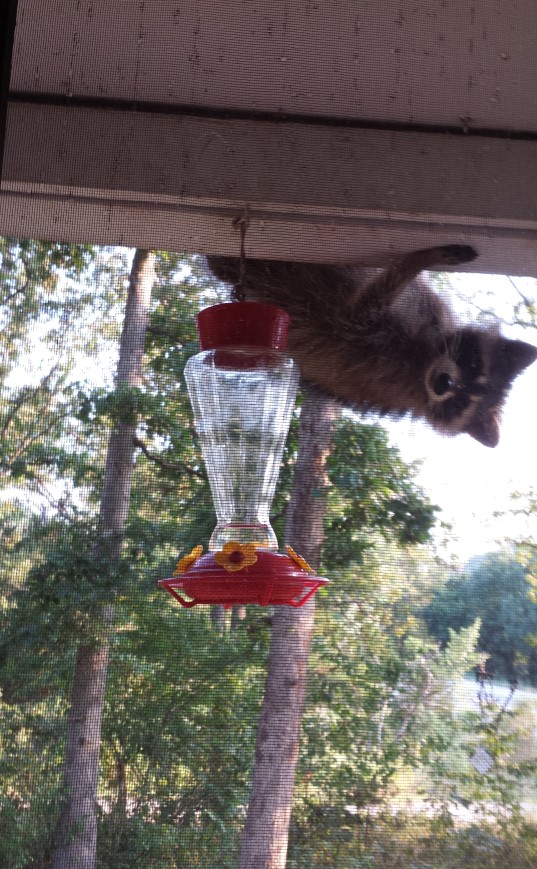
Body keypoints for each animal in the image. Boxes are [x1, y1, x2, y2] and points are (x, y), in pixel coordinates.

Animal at [207, 245, 537, 447]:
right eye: (472, 366)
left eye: (461, 403)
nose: (442, 383)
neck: (428, 358)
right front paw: (423, 259)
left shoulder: (374, 349)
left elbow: (364, 307)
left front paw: (417, 259)